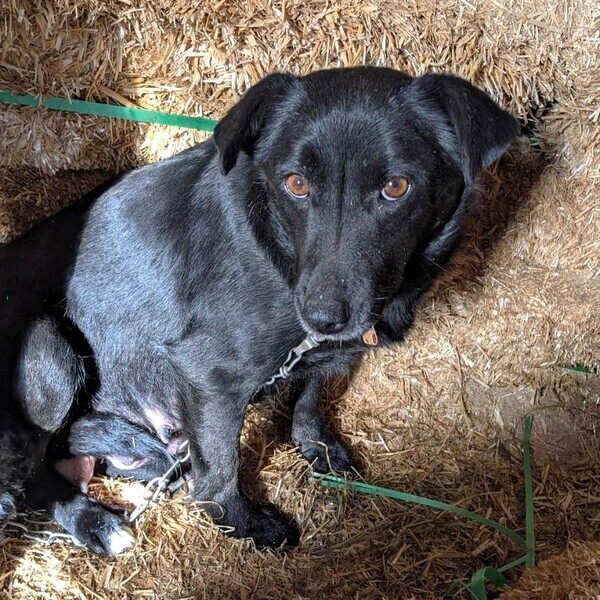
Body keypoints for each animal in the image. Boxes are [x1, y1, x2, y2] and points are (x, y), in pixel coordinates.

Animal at [0, 66, 518, 554]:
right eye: (296, 184)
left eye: (396, 186)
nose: (323, 316)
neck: (280, 253)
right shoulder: (209, 374)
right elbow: (220, 470)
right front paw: (241, 523)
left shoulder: (321, 353)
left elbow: (309, 398)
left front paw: (317, 448)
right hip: (53, 352)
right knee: (33, 474)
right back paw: (96, 522)